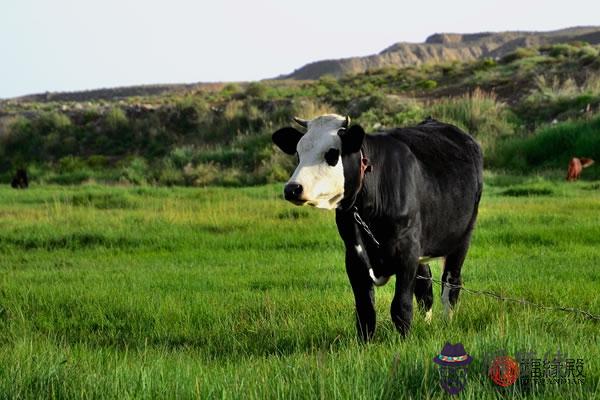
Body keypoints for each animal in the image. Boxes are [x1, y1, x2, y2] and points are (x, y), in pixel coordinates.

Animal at [272, 113, 482, 340]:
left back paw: (446, 323)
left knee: (451, 283)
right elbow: (365, 308)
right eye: (298, 153)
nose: (292, 189)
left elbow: (400, 306)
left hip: (463, 237)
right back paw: (427, 323)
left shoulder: (407, 249)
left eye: (332, 153)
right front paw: (365, 342)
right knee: (425, 287)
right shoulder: (354, 254)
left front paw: (404, 340)